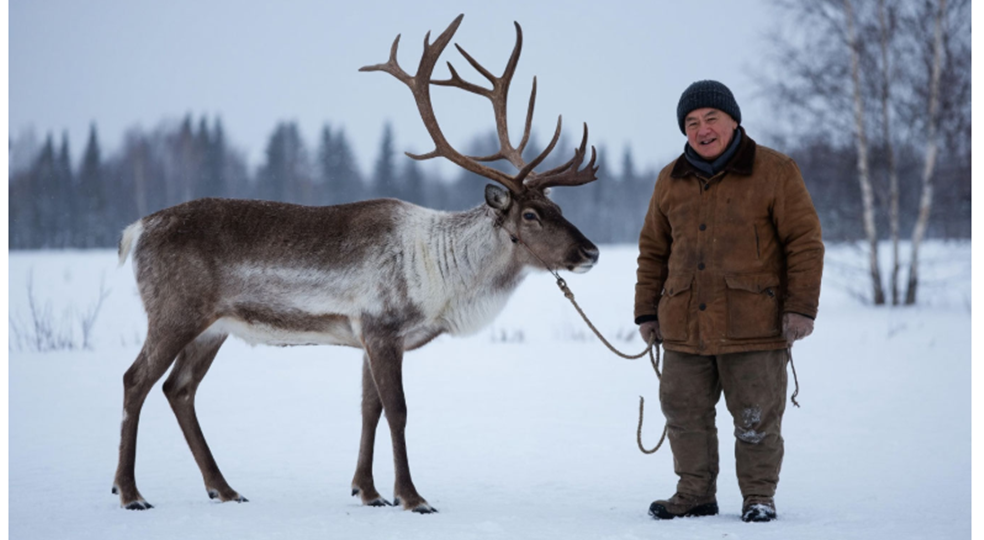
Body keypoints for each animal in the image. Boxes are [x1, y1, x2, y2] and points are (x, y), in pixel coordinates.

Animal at [112, 14, 599, 514]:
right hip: (174, 312)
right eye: (531, 215)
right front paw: (412, 497)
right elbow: (398, 410)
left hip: (213, 328)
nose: (590, 252)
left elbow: (370, 409)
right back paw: (131, 493)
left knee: (178, 389)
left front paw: (367, 491)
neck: (442, 282)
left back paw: (223, 488)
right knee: (136, 380)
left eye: (558, 206)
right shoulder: (382, 327)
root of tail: (136, 229)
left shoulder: (369, 335)